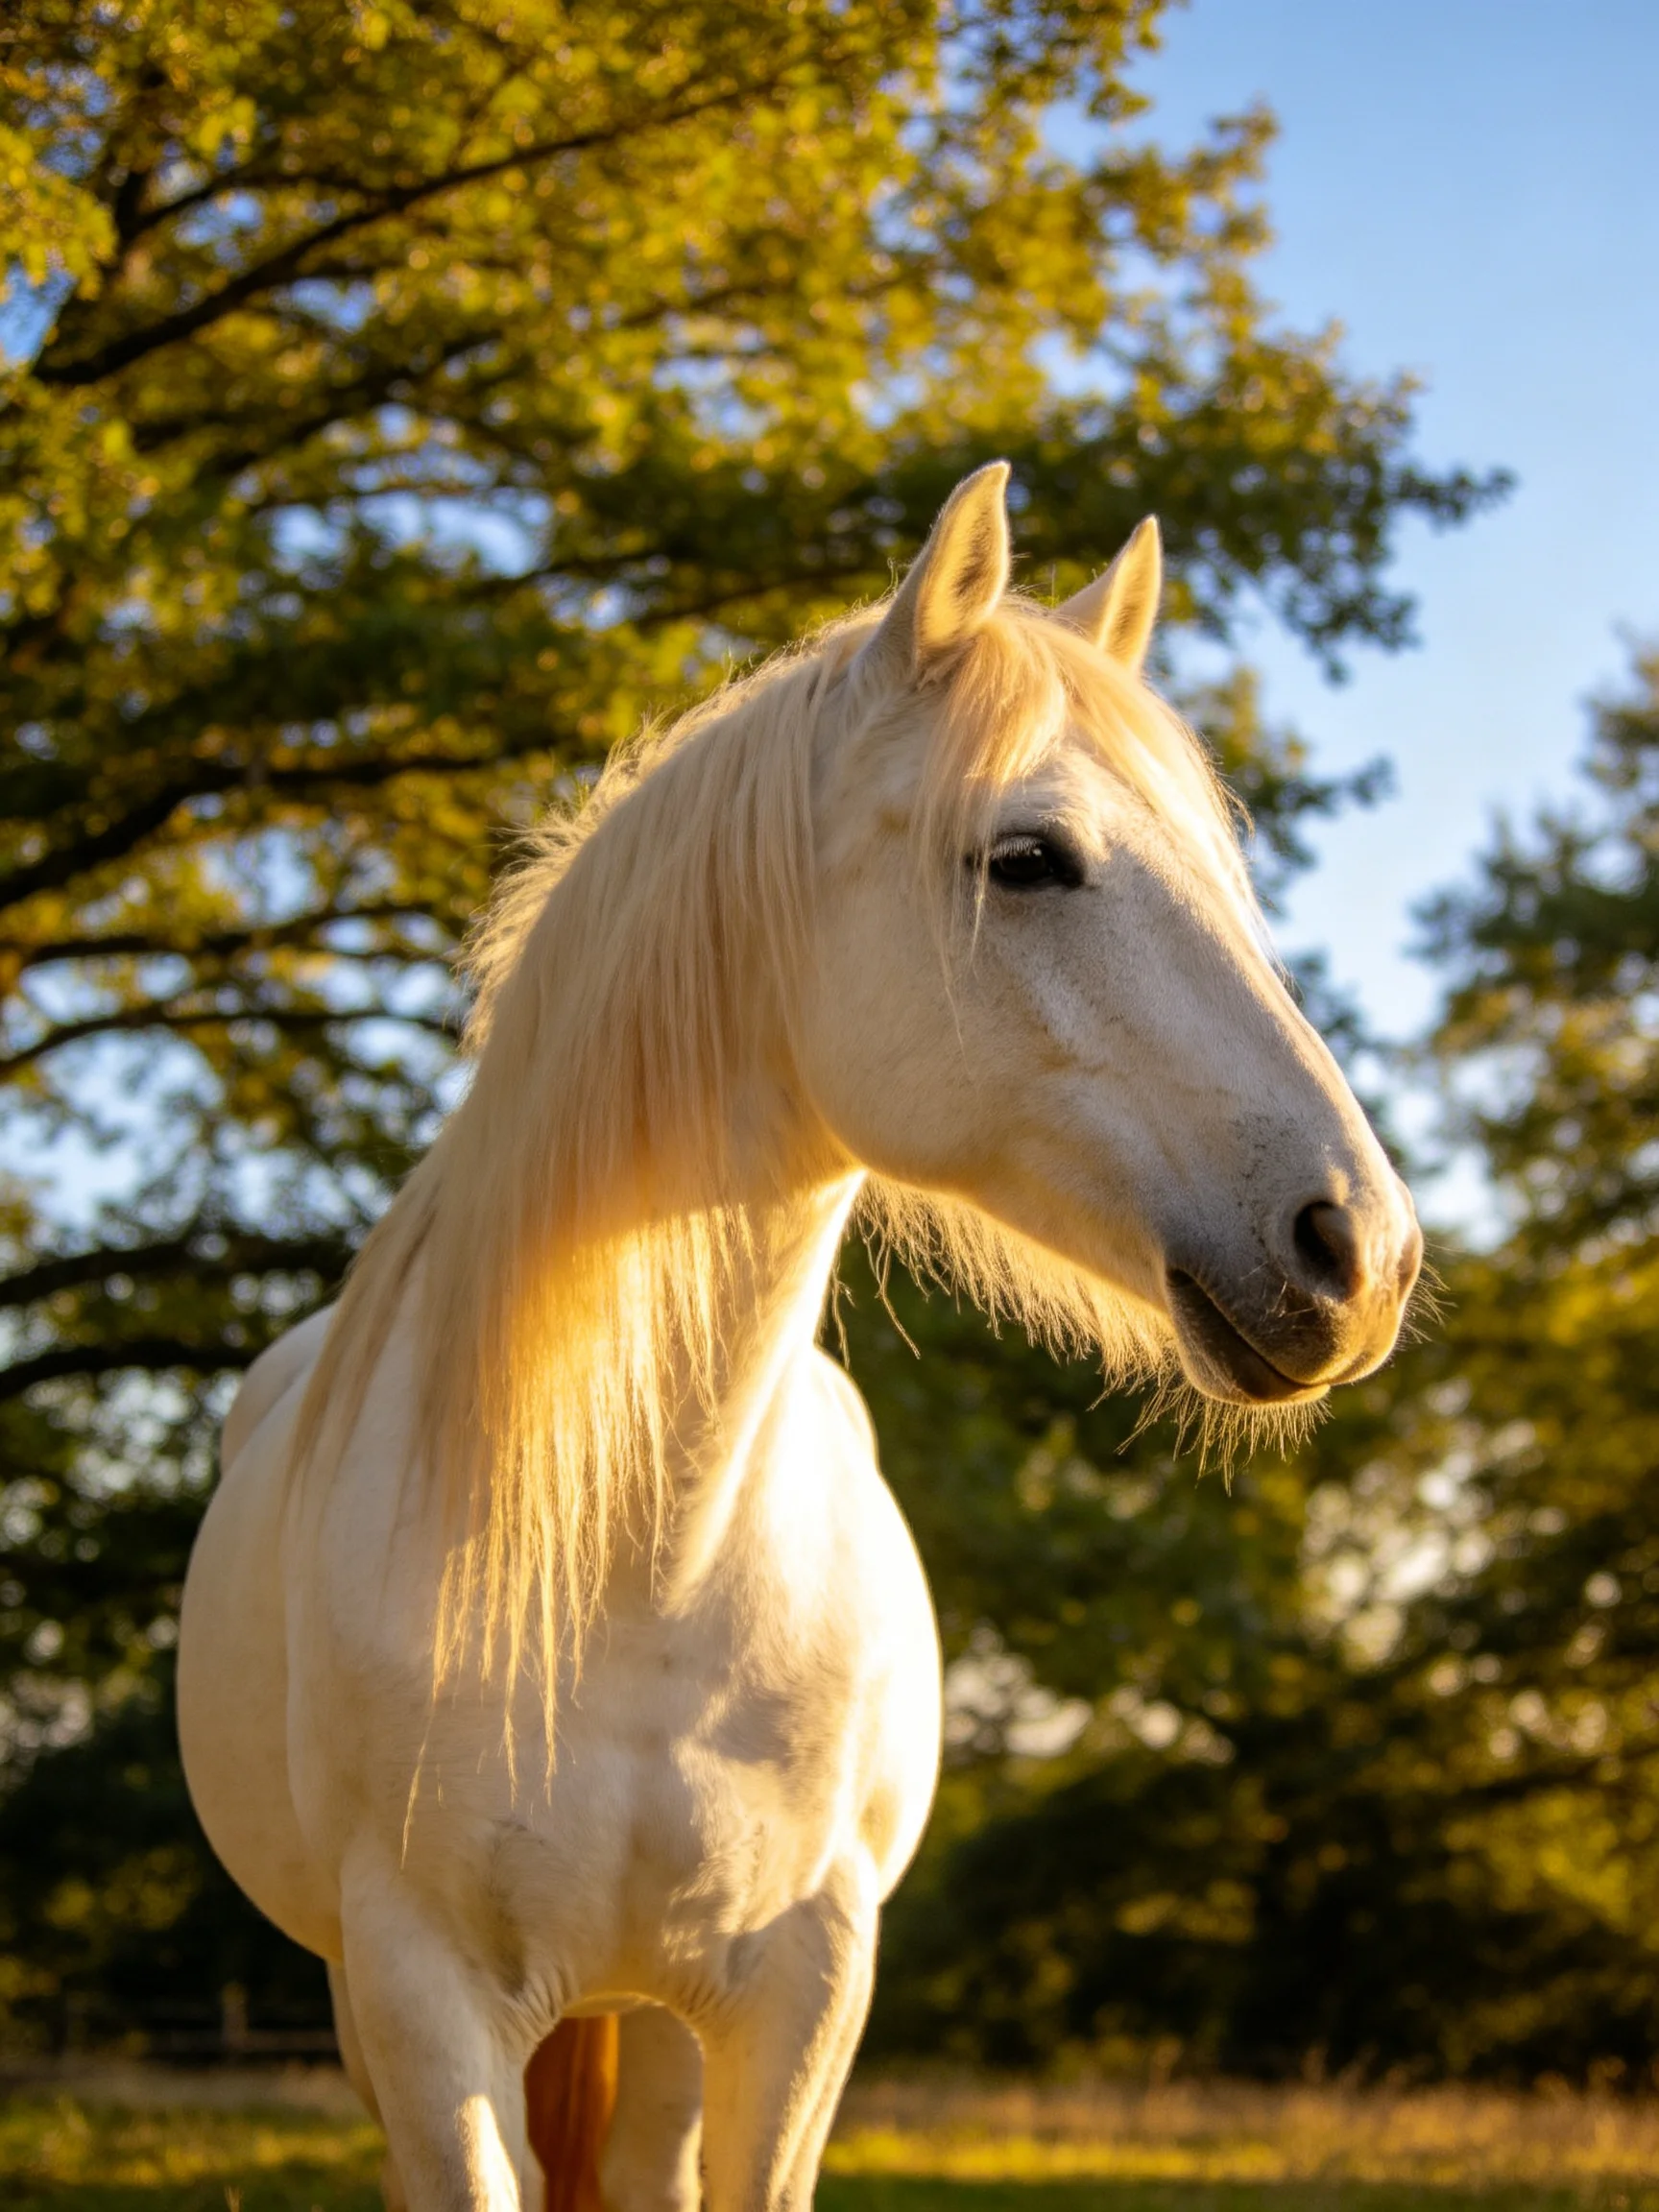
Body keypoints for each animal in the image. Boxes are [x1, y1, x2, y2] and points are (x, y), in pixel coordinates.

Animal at [177, 463, 1422, 2212]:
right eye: (1028, 856)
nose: (1359, 1252)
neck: (636, 1560)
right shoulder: (417, 1998)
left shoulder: (807, 1985)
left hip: (658, 2023)